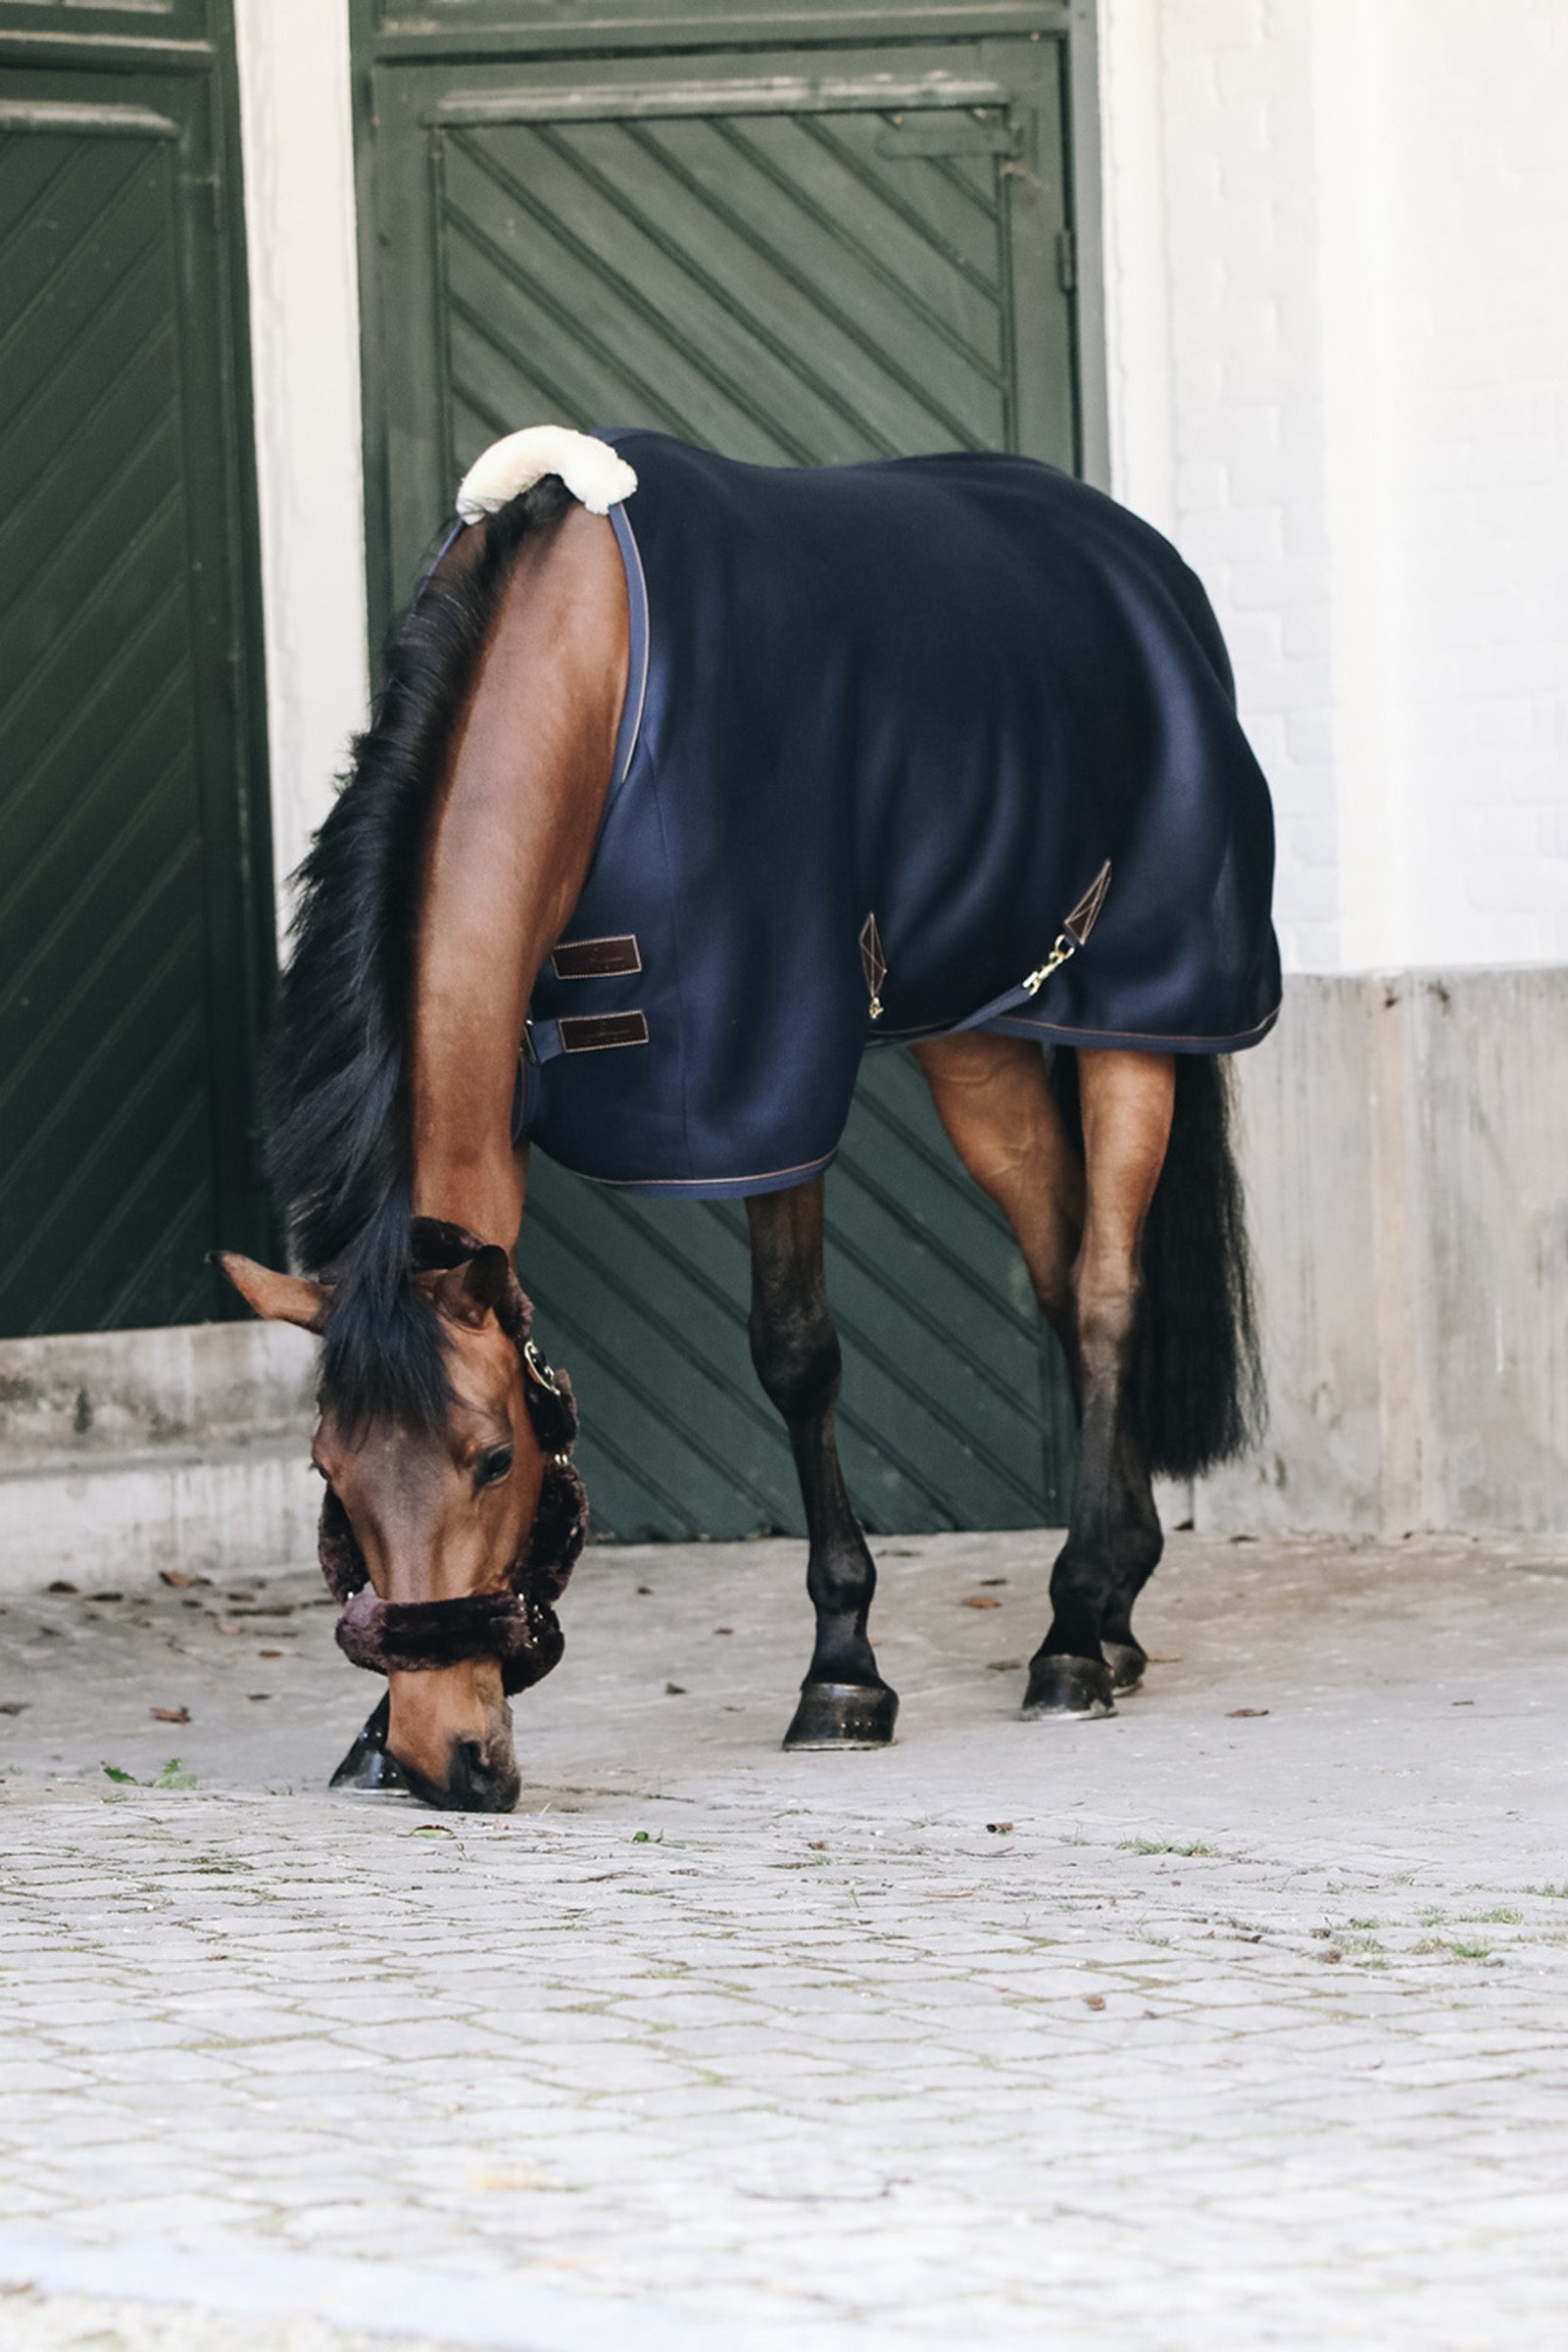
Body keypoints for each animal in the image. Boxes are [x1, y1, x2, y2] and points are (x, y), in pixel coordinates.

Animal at [217, 426, 1276, 1813]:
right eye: (330, 1475)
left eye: (495, 1459)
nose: (447, 1759)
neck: (599, 683)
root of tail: (1141, 562)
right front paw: (365, 1738)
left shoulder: (768, 1074)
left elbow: (795, 1354)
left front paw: (842, 1671)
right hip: (975, 1039)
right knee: (1056, 1263)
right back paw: (1115, 1607)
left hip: (1135, 1021)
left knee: (1104, 1288)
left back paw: (1070, 1633)